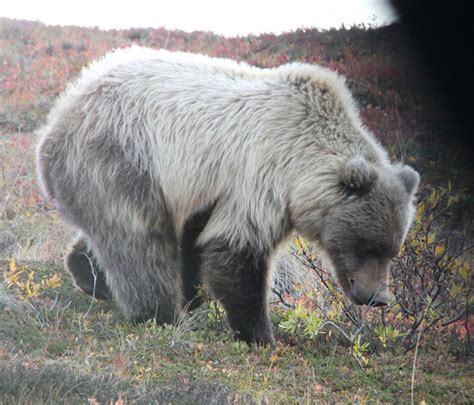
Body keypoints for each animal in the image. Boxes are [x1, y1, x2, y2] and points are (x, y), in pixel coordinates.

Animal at [36, 47, 418, 344]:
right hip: (125, 156)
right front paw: (259, 333)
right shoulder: (258, 175)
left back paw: (88, 273)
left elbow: (198, 243)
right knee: (139, 239)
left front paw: (196, 299)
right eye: (366, 245)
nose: (378, 298)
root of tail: (58, 118)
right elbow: (236, 250)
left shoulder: (210, 194)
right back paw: (158, 313)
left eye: (393, 249)